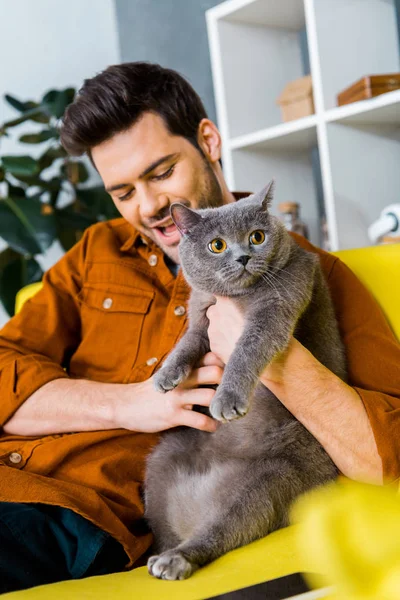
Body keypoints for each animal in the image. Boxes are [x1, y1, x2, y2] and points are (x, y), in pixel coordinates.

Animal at [145, 182, 346, 580]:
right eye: (216, 245)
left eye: (257, 237)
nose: (241, 257)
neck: (235, 297)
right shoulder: (202, 314)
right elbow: (187, 341)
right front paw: (165, 376)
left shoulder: (277, 305)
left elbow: (246, 350)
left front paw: (225, 400)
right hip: (161, 458)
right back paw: (163, 553)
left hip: (269, 478)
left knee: (225, 526)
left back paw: (175, 560)